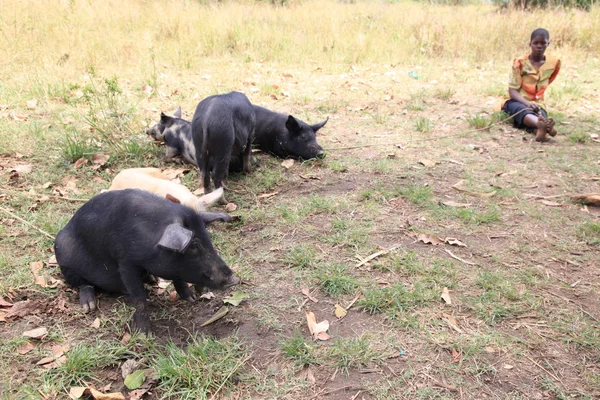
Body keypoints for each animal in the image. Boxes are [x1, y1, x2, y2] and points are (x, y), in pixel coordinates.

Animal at [53, 189, 237, 332]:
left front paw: (192, 298)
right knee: (83, 284)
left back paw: (152, 279)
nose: (234, 279)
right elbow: (139, 297)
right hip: (64, 258)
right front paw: (144, 333)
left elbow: (177, 278)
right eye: (193, 245)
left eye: (209, 239)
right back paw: (89, 306)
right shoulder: (126, 262)